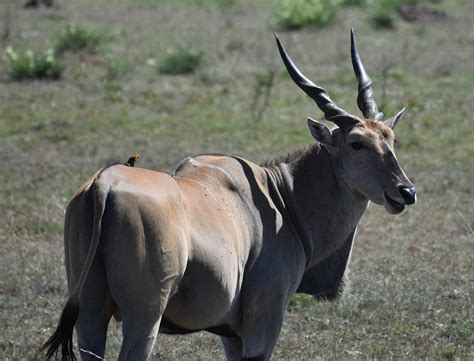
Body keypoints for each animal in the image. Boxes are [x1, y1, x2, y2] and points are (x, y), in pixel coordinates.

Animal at [42, 29, 416, 358]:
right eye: (357, 143)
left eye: (391, 138)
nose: (406, 191)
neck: (282, 198)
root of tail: (104, 184)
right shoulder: (262, 323)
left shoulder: (230, 335)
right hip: (144, 317)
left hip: (91, 314)